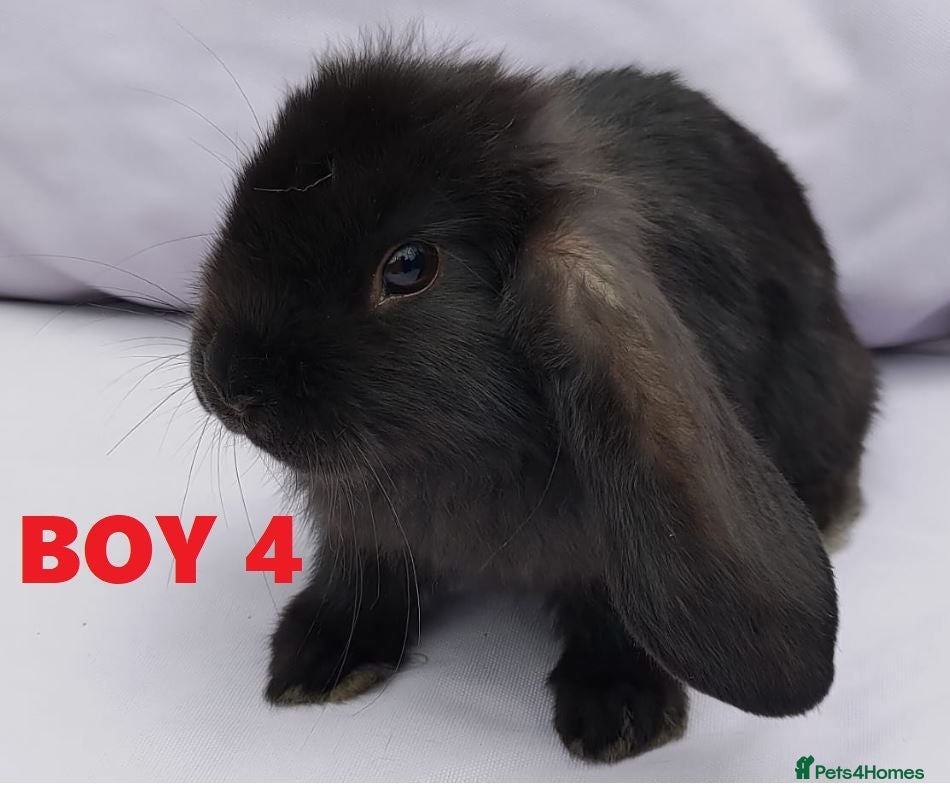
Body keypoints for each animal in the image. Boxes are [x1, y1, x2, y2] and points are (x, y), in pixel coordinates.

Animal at [189, 37, 878, 763]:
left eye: (409, 265)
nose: (229, 384)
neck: (451, 456)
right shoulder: (364, 526)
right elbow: (363, 571)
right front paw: (320, 656)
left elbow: (615, 615)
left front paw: (618, 711)